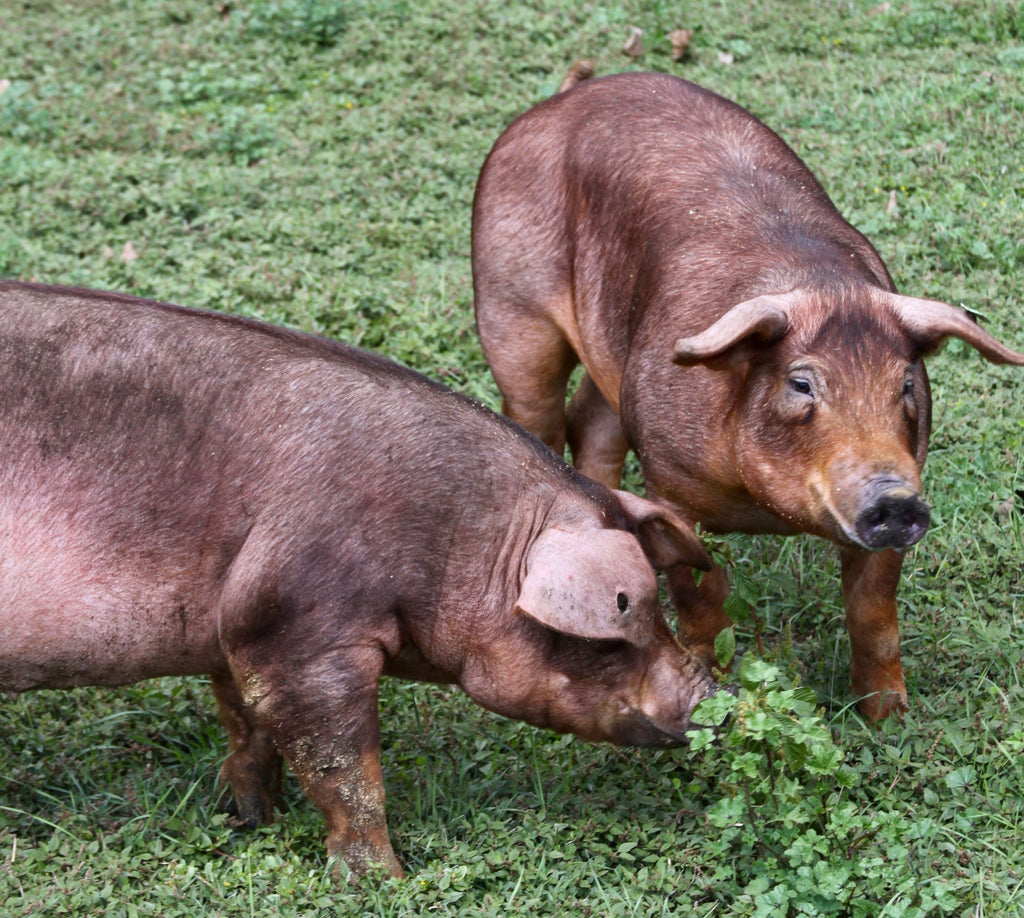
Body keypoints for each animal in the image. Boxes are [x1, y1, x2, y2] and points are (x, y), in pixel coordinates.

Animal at [0, 280, 720, 881]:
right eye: (619, 629)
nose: (714, 695)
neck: (463, 537)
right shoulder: (299, 623)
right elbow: (345, 768)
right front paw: (385, 881)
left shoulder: (236, 617)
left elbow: (244, 721)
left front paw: (249, 818)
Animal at [471, 69, 1024, 725]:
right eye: (801, 383)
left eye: (906, 385)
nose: (893, 498)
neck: (767, 511)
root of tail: (561, 99)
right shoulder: (671, 484)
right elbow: (703, 593)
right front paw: (713, 688)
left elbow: (874, 612)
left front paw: (887, 719)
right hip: (510, 307)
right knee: (541, 415)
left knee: (593, 420)